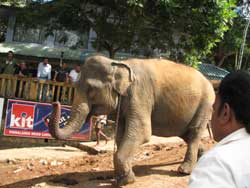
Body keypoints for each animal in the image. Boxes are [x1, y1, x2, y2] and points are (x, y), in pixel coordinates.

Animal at [48, 55, 215, 186]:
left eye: (91, 90)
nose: (55, 102)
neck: (118, 64)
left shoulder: (140, 94)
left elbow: (142, 131)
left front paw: (127, 181)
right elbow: (121, 134)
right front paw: (119, 179)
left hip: (205, 104)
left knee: (193, 133)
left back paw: (184, 171)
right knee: (186, 134)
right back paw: (203, 157)